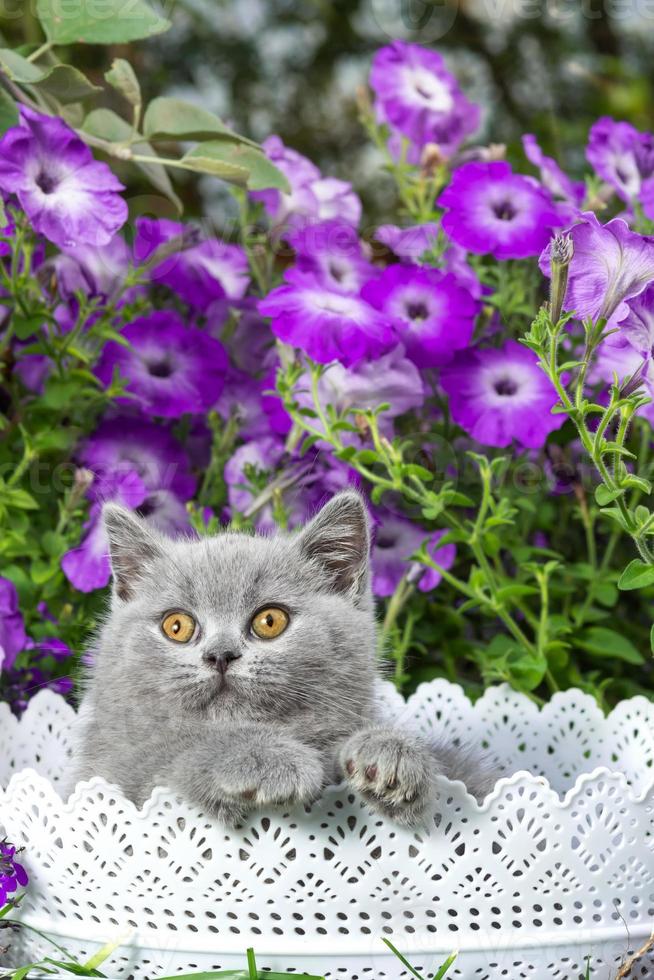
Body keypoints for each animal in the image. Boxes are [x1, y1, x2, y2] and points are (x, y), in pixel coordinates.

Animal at [68, 494, 498, 824]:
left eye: (270, 621)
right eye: (177, 626)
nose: (220, 654)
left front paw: (389, 755)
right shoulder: (116, 774)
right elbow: (175, 757)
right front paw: (266, 760)